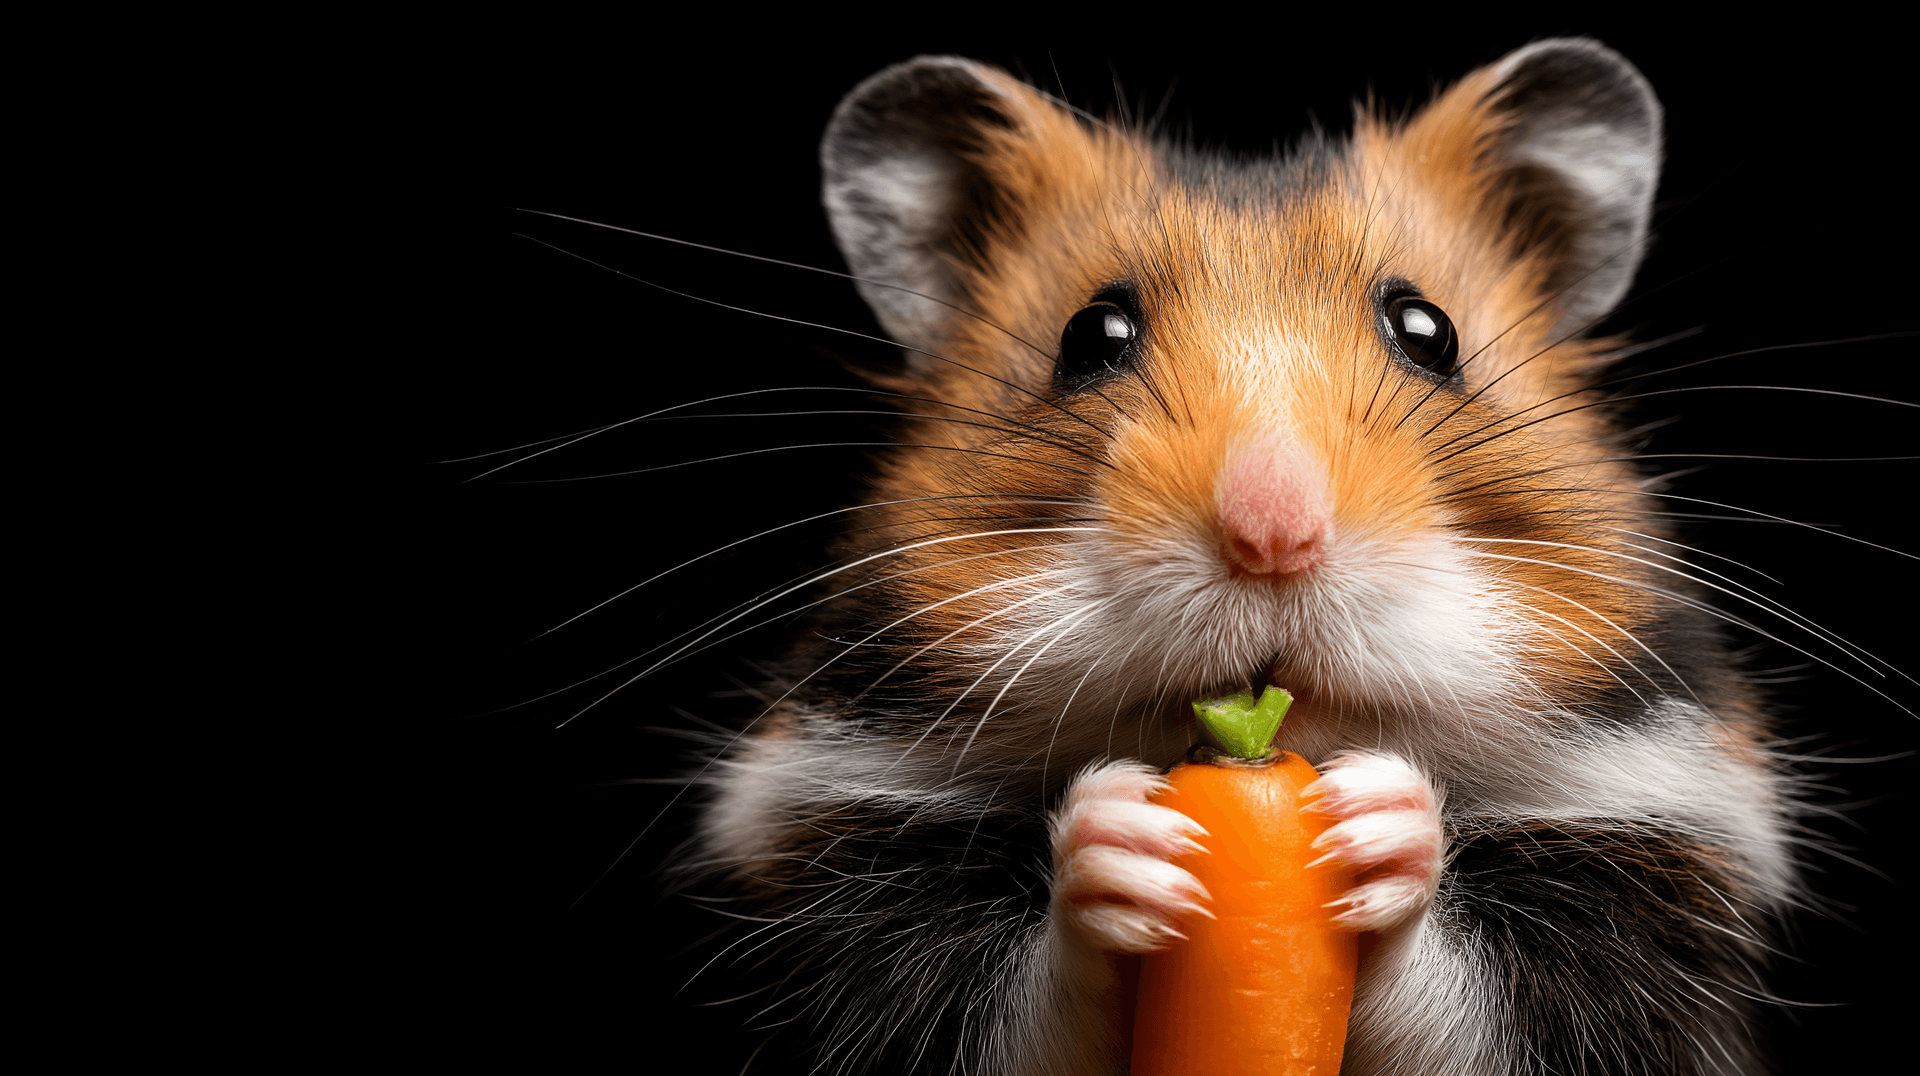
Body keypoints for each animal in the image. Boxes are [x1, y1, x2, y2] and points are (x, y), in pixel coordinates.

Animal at [670, 40, 1789, 1075]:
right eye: (1092, 334)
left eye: (1428, 330)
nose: (1273, 535)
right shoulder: (852, 902)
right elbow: (1012, 1009)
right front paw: (1117, 838)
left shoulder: (1642, 902)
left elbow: (1485, 1012)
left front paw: (1382, 824)